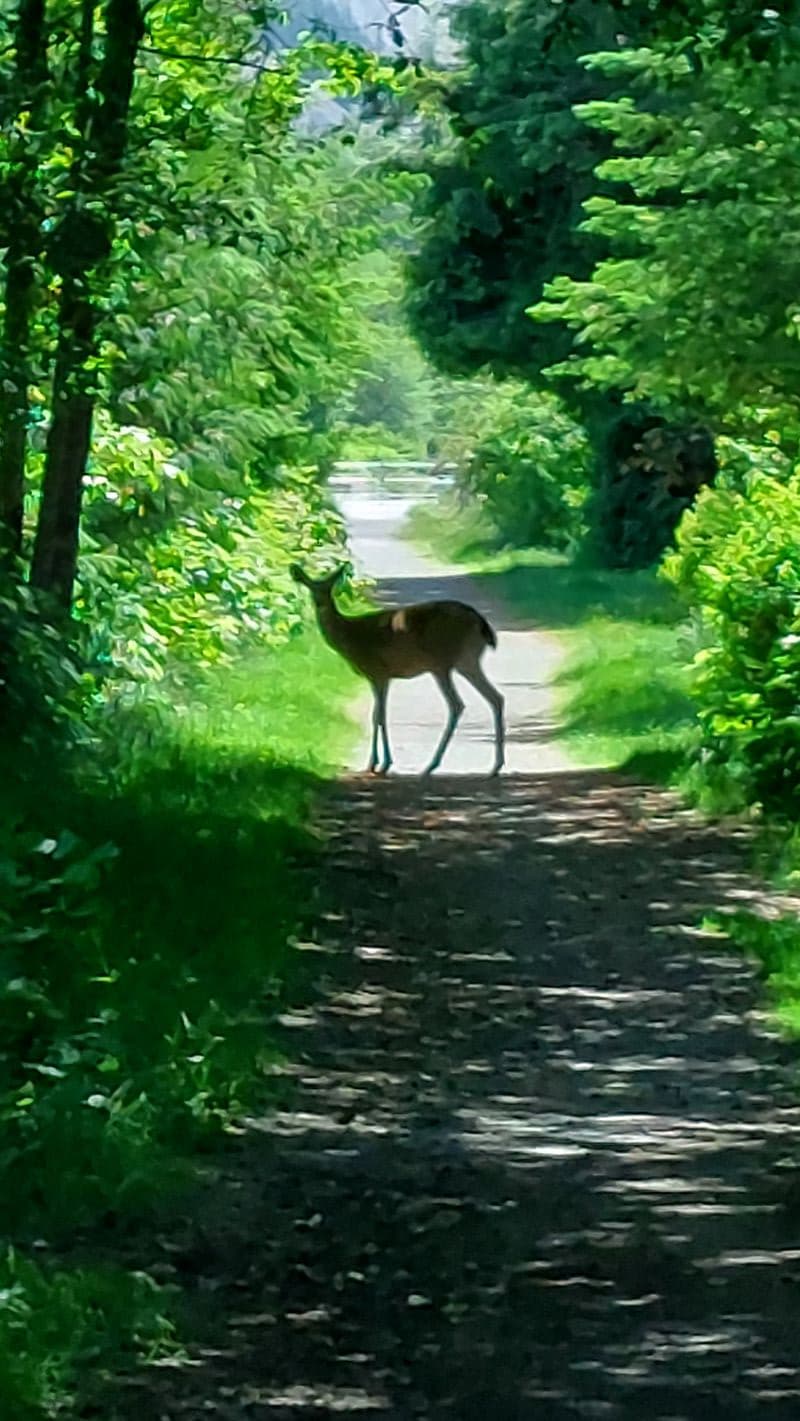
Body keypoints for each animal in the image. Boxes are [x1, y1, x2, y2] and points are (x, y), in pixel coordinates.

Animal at [291, 562, 503, 778]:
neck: (349, 637)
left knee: (457, 704)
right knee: (495, 697)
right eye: (311, 588)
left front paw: (380, 764)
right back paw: (495, 766)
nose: (319, 603)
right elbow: (378, 715)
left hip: (441, 662)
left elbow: (379, 716)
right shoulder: (382, 676)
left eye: (330, 589)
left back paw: (431, 766)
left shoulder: (377, 672)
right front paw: (379, 763)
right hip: (467, 661)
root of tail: (481, 622)